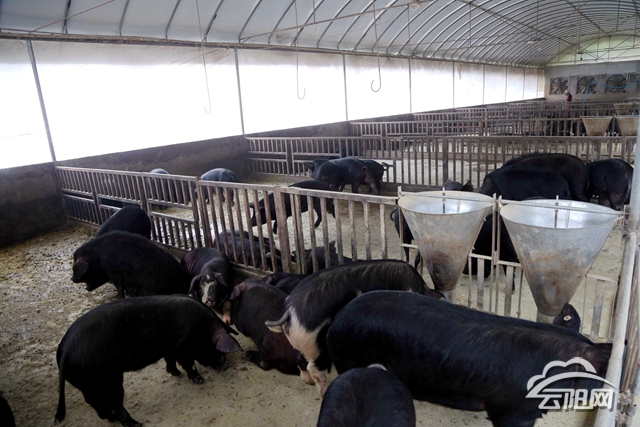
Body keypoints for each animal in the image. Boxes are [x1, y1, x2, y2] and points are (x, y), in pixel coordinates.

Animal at [55, 295, 242, 427]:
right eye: (218, 350)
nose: (225, 365)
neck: (202, 329)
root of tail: (63, 352)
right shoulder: (183, 347)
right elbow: (189, 363)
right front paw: (200, 380)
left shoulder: (171, 348)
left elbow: (170, 360)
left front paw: (175, 373)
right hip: (108, 379)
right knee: (115, 402)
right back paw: (136, 424)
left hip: (87, 385)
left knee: (94, 402)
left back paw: (110, 419)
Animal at [265, 260, 443, 396]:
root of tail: (289, 312)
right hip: (317, 344)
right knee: (314, 367)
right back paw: (324, 391)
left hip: (302, 343)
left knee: (300, 359)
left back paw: (307, 381)